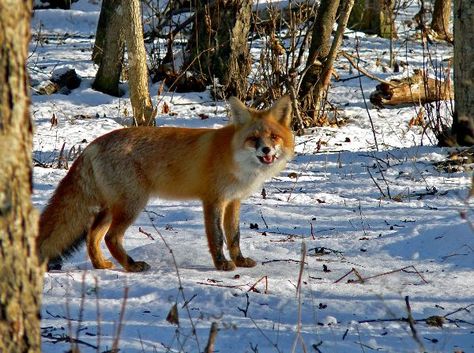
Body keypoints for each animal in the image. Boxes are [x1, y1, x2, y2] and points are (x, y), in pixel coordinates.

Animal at [38, 96, 292, 272]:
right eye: (254, 139)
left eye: (273, 137)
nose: (266, 150)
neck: (234, 159)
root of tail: (92, 145)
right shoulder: (213, 200)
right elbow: (218, 237)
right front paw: (222, 265)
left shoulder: (233, 201)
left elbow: (234, 236)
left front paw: (239, 260)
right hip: (132, 204)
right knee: (111, 237)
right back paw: (131, 266)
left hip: (113, 207)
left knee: (92, 235)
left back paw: (101, 265)